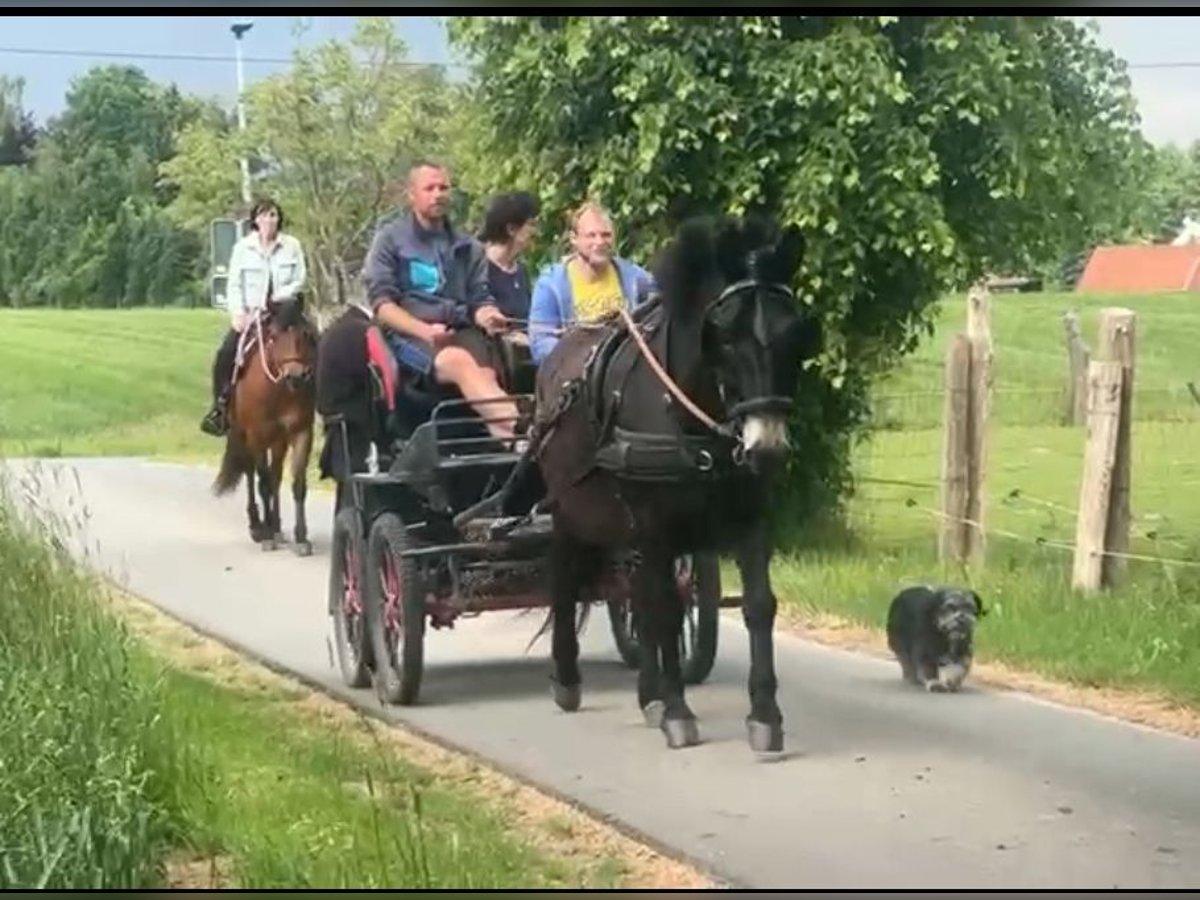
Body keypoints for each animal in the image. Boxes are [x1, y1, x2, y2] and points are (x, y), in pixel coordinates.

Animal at [213, 296, 319, 554]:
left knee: (275, 476)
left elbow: (296, 484)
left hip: (278, 440)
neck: (279, 389)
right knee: (252, 475)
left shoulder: (301, 433)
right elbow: (262, 483)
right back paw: (258, 527)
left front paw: (301, 538)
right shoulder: (257, 435)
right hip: (245, 436)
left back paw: (277, 527)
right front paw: (267, 536)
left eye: (304, 334)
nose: (296, 376)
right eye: (273, 336)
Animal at [528, 211, 820, 753]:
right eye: (723, 335)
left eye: (796, 333)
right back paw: (568, 679)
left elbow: (757, 606)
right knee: (566, 580)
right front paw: (680, 714)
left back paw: (649, 694)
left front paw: (764, 716)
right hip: (571, 510)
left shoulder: (748, 516)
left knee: (638, 595)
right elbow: (664, 610)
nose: (766, 447)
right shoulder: (656, 522)